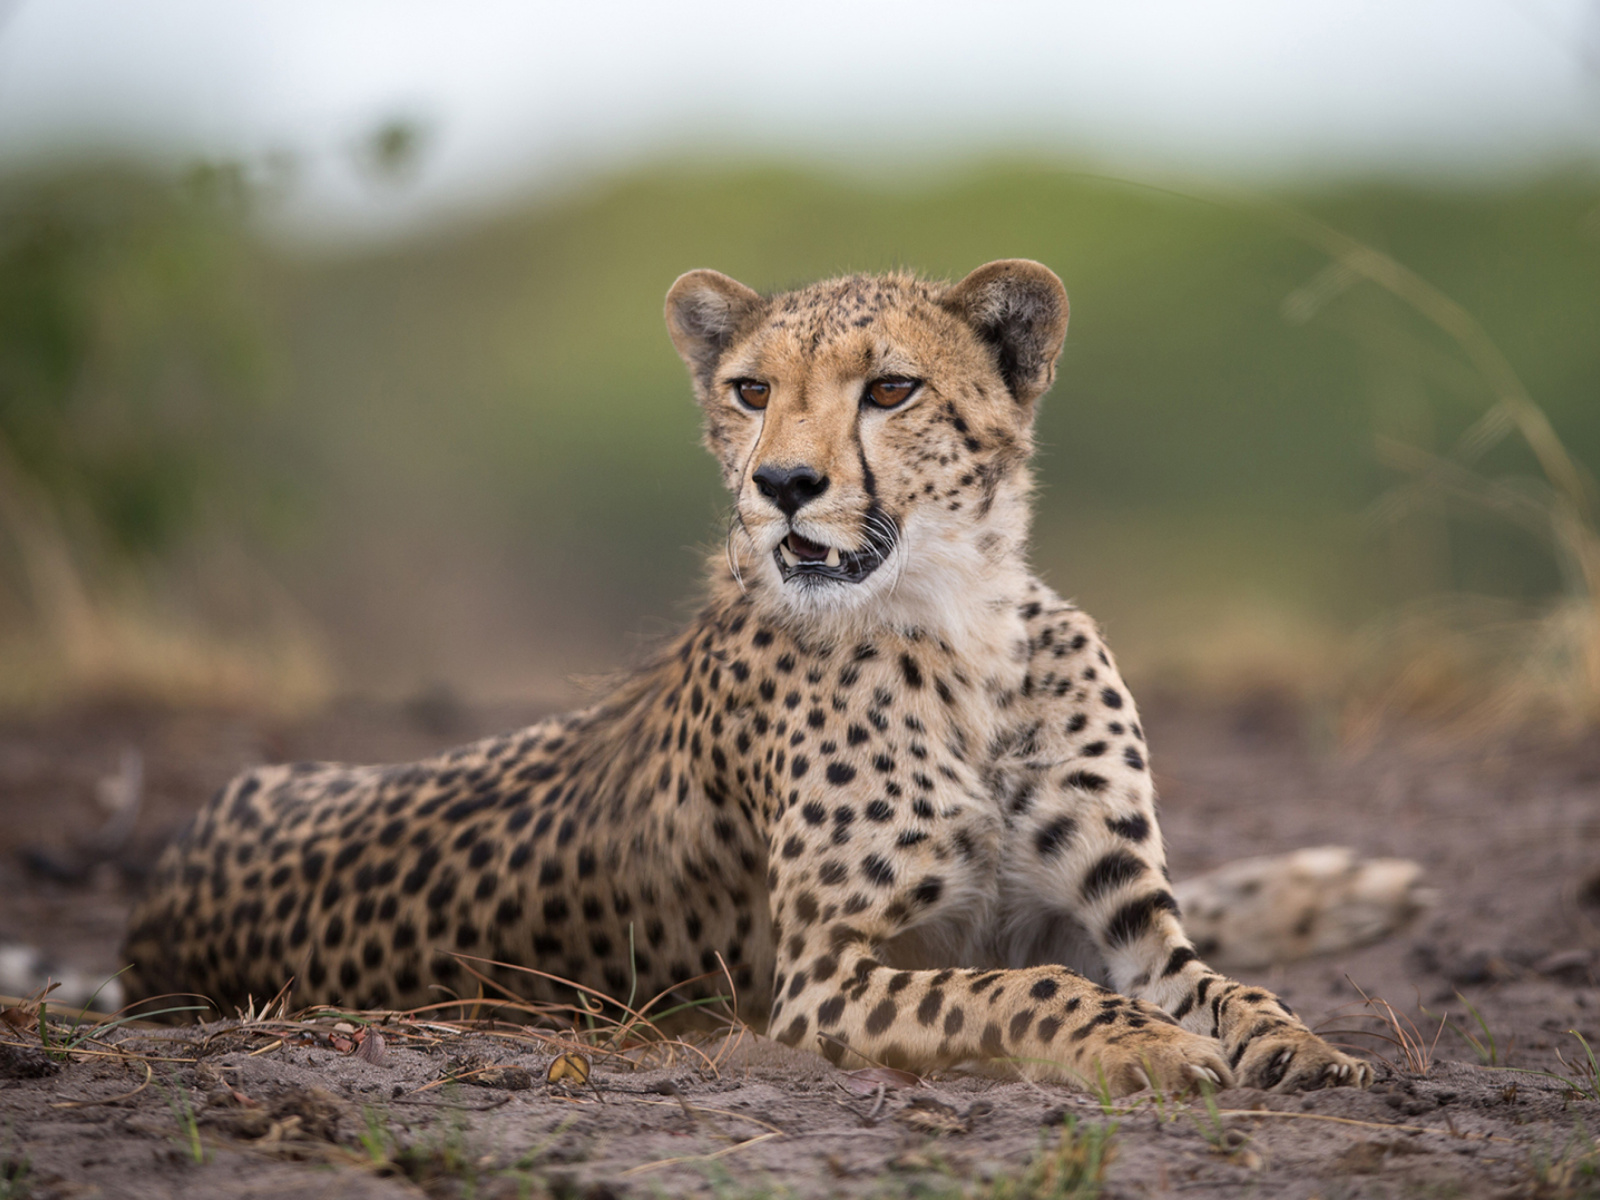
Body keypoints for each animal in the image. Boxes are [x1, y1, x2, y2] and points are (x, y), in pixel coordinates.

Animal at [128, 260, 1401, 1100]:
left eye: (888, 390)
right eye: (750, 391)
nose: (783, 484)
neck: (962, 630)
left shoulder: (1124, 916)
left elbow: (1228, 986)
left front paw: (1301, 1044)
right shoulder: (822, 979)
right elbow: (1025, 989)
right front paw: (1147, 1044)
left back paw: (1347, 886)